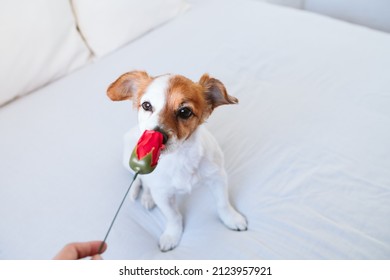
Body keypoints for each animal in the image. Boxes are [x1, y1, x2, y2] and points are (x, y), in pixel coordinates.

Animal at [106, 70, 247, 252]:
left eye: (184, 111)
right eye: (146, 105)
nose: (157, 135)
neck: (179, 158)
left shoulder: (218, 178)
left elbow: (222, 203)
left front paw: (231, 218)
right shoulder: (162, 195)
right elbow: (173, 216)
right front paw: (172, 235)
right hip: (128, 162)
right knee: (142, 180)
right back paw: (147, 197)